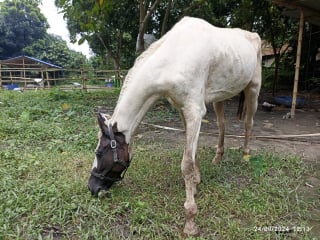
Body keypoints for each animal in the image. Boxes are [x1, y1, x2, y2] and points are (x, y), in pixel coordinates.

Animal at [87, 17, 260, 236]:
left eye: (99, 152)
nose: (92, 187)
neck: (174, 58)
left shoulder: (195, 111)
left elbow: (186, 164)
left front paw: (190, 220)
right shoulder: (182, 109)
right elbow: (192, 153)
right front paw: (196, 182)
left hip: (253, 87)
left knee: (248, 122)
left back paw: (246, 154)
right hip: (220, 96)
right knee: (222, 124)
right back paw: (218, 157)